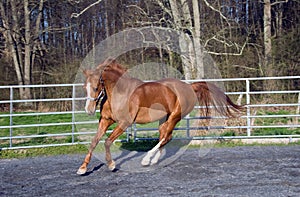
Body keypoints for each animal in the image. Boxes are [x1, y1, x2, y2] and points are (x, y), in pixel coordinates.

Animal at [76, 57, 243, 175]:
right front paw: (83, 168)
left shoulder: (124, 123)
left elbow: (107, 142)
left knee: (166, 137)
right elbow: (94, 142)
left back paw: (146, 159)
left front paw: (111, 165)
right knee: (165, 137)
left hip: (174, 117)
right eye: (84, 87)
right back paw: (153, 160)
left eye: (96, 87)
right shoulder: (105, 121)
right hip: (163, 119)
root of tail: (189, 86)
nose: (89, 110)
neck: (119, 93)